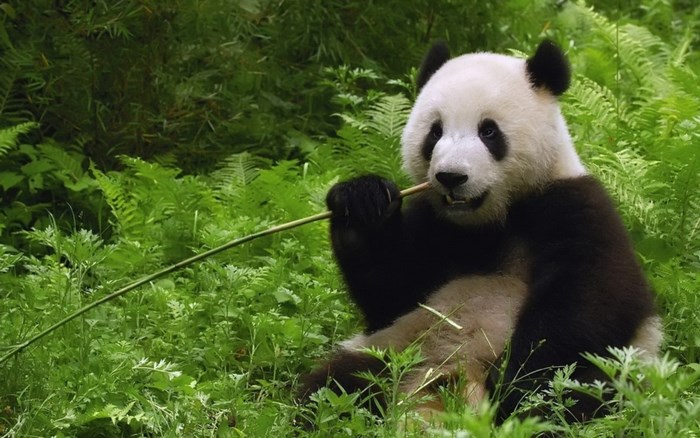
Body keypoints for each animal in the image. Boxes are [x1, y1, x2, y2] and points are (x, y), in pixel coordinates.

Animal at [298, 40, 662, 424]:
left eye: (488, 131)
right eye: (435, 132)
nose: (451, 177)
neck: (489, 220)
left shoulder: (573, 206)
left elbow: (591, 300)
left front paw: (513, 381)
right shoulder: (433, 225)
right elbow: (391, 292)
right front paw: (362, 202)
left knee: (578, 391)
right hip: (396, 348)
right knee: (336, 385)